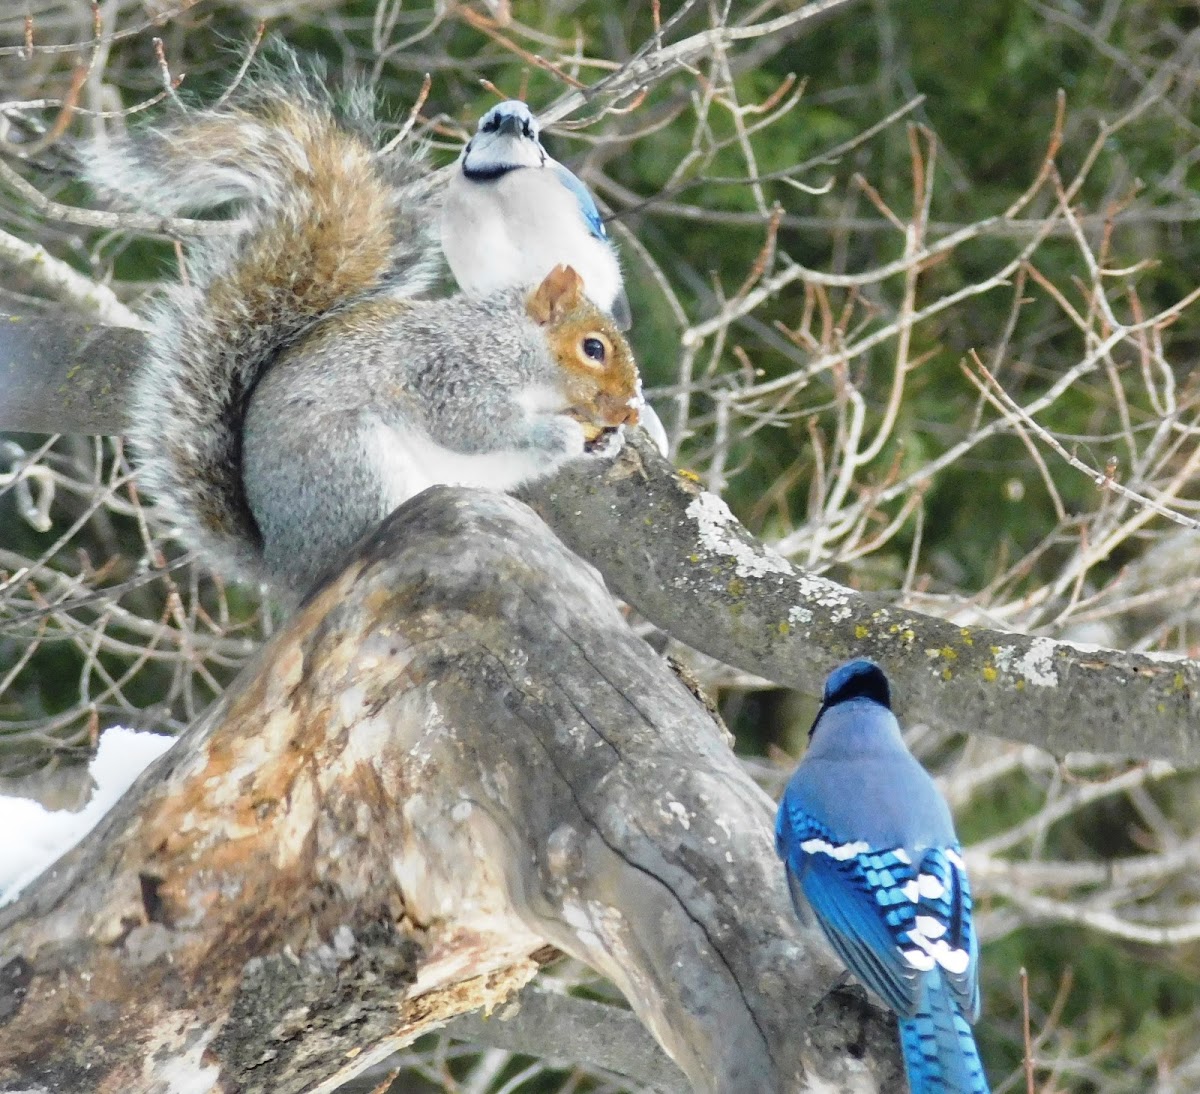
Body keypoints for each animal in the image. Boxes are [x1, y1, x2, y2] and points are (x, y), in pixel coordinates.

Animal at [88, 55, 648, 606]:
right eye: (593, 348)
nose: (627, 408)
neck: (517, 344)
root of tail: (285, 568)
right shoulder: (452, 372)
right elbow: (473, 427)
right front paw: (556, 433)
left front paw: (604, 444)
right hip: (354, 466)